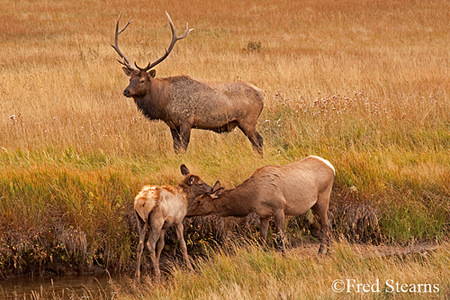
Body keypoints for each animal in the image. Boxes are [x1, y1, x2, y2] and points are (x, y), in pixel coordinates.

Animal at [112, 12, 266, 155]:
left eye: (142, 80)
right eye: (130, 79)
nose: (126, 91)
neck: (163, 102)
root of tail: (262, 94)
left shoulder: (186, 120)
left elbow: (183, 147)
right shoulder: (172, 124)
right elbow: (176, 147)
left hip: (248, 120)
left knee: (258, 140)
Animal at [185, 156, 334, 254]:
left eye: (199, 201)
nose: (186, 213)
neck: (253, 199)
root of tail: (331, 167)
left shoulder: (279, 208)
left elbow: (280, 234)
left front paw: (284, 253)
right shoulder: (264, 214)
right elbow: (263, 235)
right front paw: (262, 252)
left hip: (323, 197)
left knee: (326, 223)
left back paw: (321, 250)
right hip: (314, 204)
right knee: (329, 220)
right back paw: (328, 249)